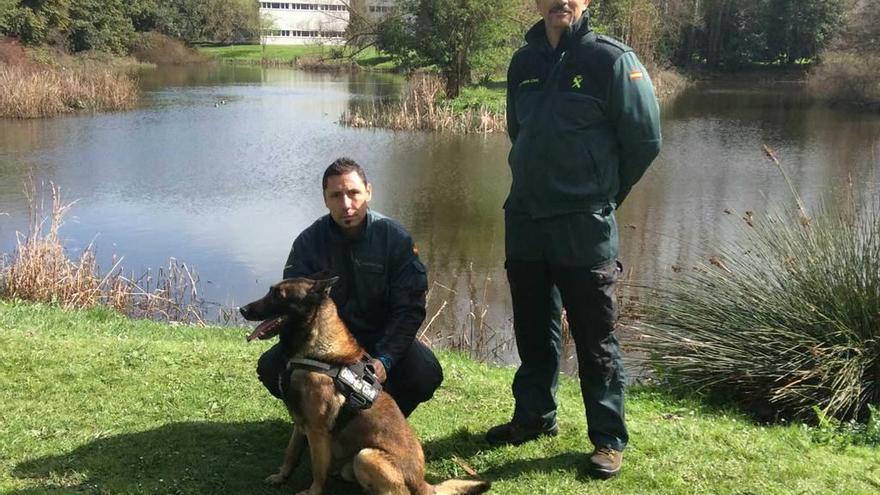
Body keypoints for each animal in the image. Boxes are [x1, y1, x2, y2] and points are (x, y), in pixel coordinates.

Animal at [237, 278, 492, 495]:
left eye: (278, 295)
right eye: (271, 291)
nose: (243, 310)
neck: (318, 352)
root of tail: (423, 484)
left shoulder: (317, 431)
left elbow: (318, 471)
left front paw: (312, 491)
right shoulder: (301, 424)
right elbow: (290, 454)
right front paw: (281, 476)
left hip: (366, 456)